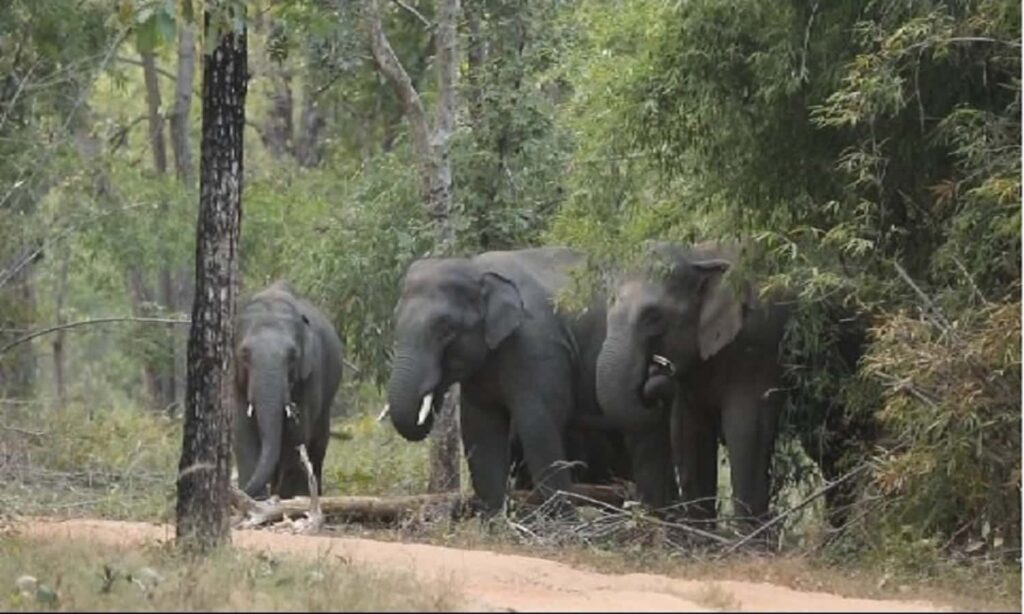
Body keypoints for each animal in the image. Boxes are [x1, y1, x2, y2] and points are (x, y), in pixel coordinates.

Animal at [232, 280, 344, 501]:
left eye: (292, 356)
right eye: (244, 354)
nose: (238, 493)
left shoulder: (311, 373)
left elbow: (297, 435)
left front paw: (288, 498)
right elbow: (243, 431)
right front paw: (256, 500)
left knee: (318, 442)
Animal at [382, 246, 626, 511]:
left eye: (445, 330)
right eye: (395, 324)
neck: (476, 268)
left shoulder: (538, 347)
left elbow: (540, 425)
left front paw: (564, 517)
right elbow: (480, 429)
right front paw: (495, 518)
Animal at [593, 241, 790, 528]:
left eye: (653, 316)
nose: (657, 367)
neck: (698, 257)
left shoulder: (758, 346)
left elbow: (746, 430)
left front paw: (748, 537)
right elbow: (689, 434)